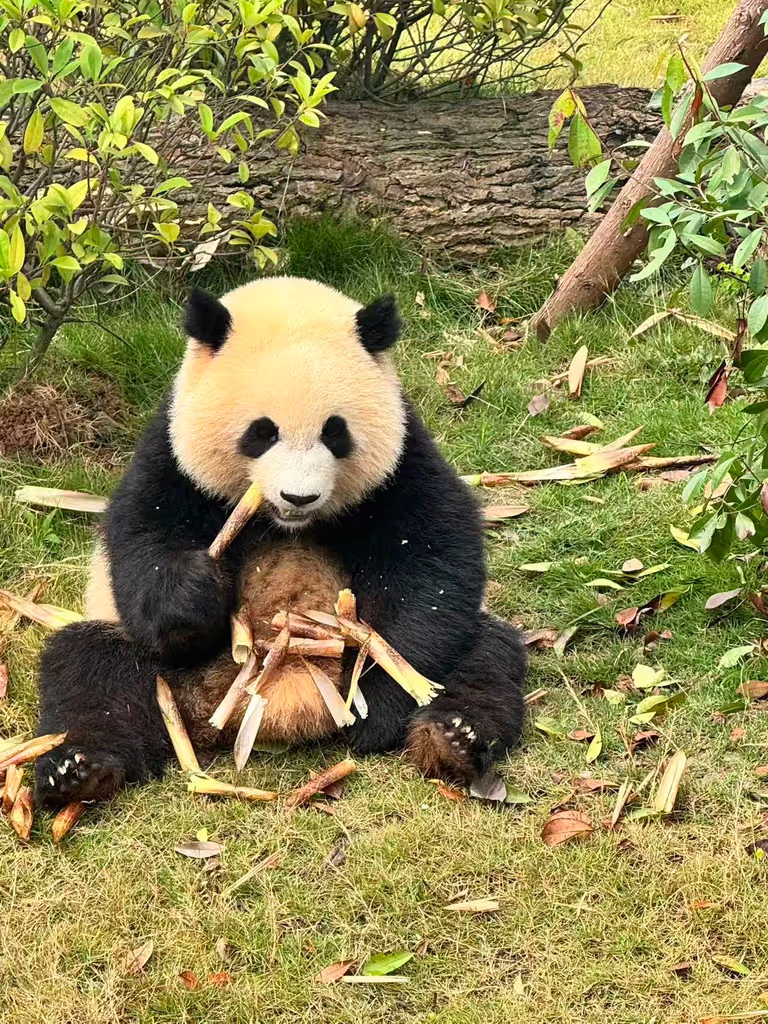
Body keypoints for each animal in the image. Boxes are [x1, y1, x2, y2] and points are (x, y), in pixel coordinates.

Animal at [34, 277, 526, 805]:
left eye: (335, 433)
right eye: (262, 432)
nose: (298, 496)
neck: (284, 524)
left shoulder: (402, 459)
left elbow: (432, 558)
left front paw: (377, 707)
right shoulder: (171, 453)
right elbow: (140, 539)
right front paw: (192, 588)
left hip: (459, 649)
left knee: (486, 656)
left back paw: (452, 736)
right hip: (141, 662)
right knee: (90, 671)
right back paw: (79, 768)